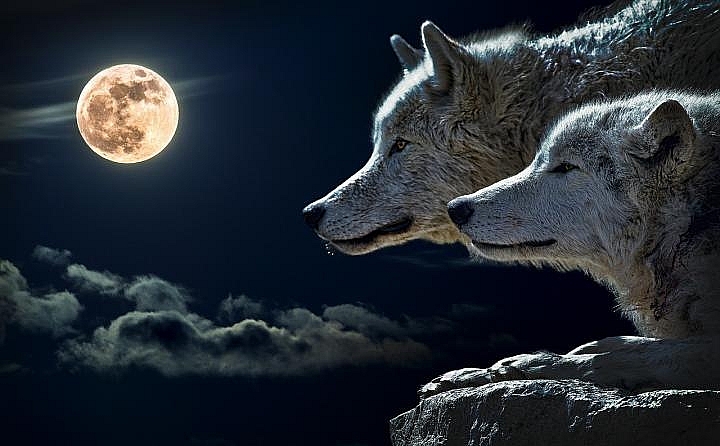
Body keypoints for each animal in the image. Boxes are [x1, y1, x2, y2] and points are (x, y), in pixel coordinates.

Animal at [422, 91, 720, 396]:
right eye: (537, 161)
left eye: (566, 167)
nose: (456, 208)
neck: (687, 229)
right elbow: (616, 344)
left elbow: (611, 359)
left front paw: (520, 366)